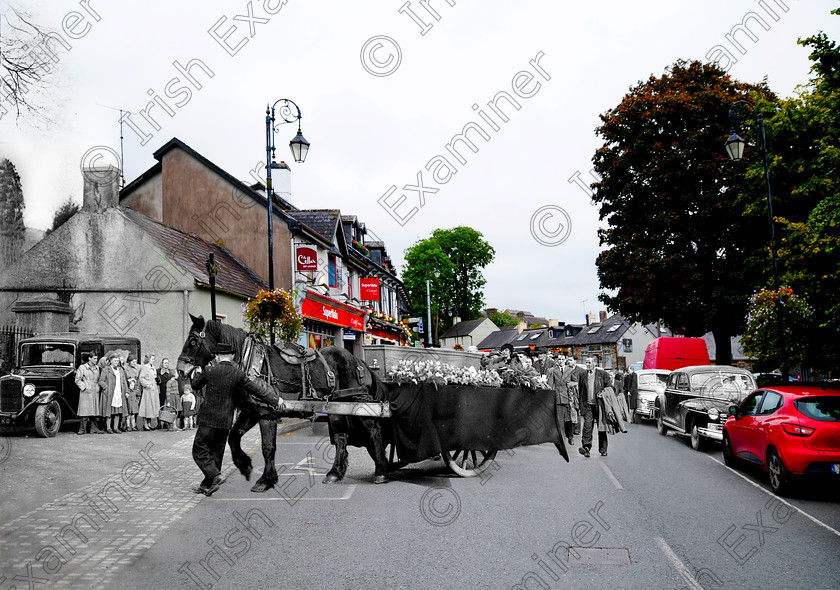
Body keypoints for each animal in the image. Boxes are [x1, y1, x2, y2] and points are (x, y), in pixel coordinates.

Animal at [176, 316, 392, 492]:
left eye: (193, 340)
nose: (180, 369)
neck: (251, 362)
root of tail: (358, 360)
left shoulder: (267, 414)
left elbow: (268, 447)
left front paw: (265, 480)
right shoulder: (251, 412)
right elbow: (233, 437)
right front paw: (244, 465)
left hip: (358, 403)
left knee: (373, 429)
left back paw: (381, 471)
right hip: (336, 407)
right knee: (340, 438)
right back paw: (334, 473)